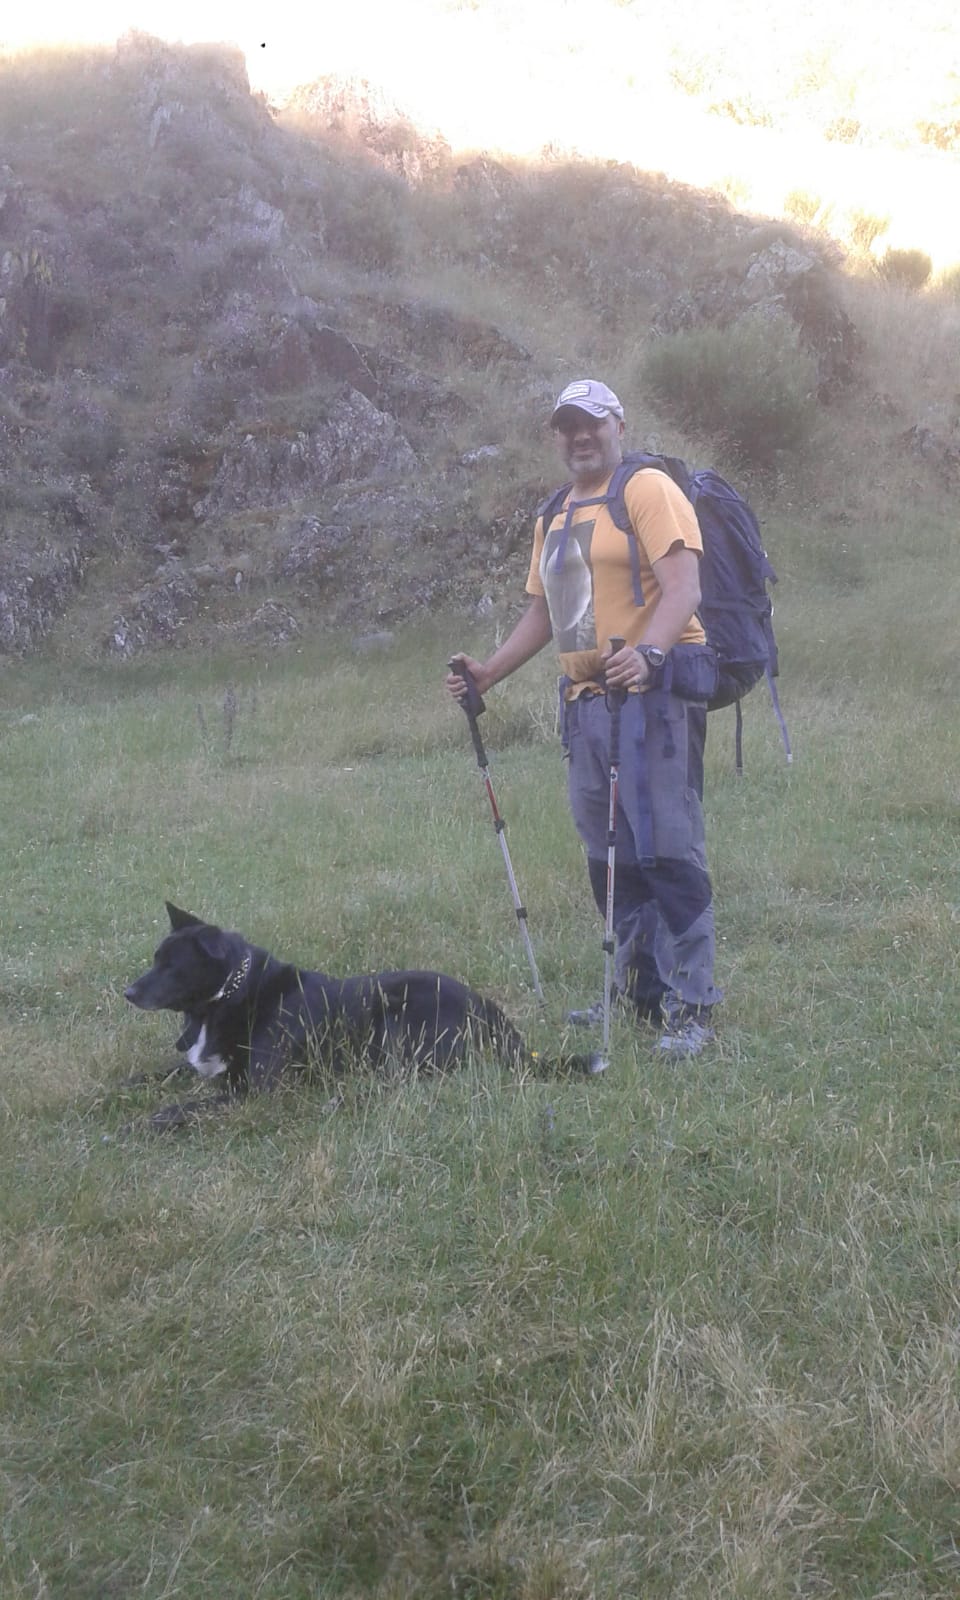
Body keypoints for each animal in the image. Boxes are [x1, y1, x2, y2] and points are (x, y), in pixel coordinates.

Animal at [123, 903, 604, 1128]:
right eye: (155, 958)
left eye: (171, 965)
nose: (127, 993)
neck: (231, 994)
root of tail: (497, 1019)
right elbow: (159, 1075)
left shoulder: (255, 1091)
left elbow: (190, 1106)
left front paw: (147, 1123)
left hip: (397, 1017)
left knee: (402, 1082)